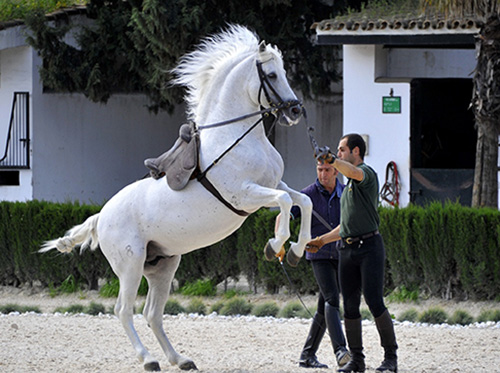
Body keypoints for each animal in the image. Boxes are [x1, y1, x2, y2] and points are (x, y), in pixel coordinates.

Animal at [40, 24, 312, 370]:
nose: (295, 110)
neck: (236, 139)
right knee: (124, 311)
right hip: (130, 266)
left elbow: (302, 202)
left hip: (163, 267)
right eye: (273, 75)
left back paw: (179, 359)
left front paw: (295, 251)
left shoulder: (277, 184)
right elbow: (285, 203)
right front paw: (274, 246)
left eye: (285, 72)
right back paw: (148, 359)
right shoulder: (246, 195)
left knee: (152, 314)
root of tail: (101, 217)